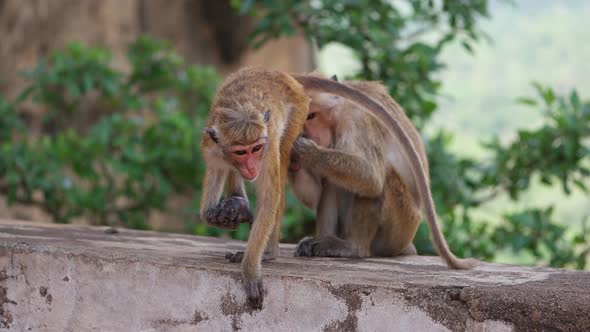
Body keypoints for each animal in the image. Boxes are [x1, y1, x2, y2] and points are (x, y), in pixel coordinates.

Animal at [201, 67, 478, 308]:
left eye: (312, 116)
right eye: (241, 152)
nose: (250, 167)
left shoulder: (353, 121)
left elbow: (369, 177)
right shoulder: (216, 147)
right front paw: (229, 208)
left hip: (397, 229)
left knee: (377, 183)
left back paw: (346, 248)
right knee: (331, 183)